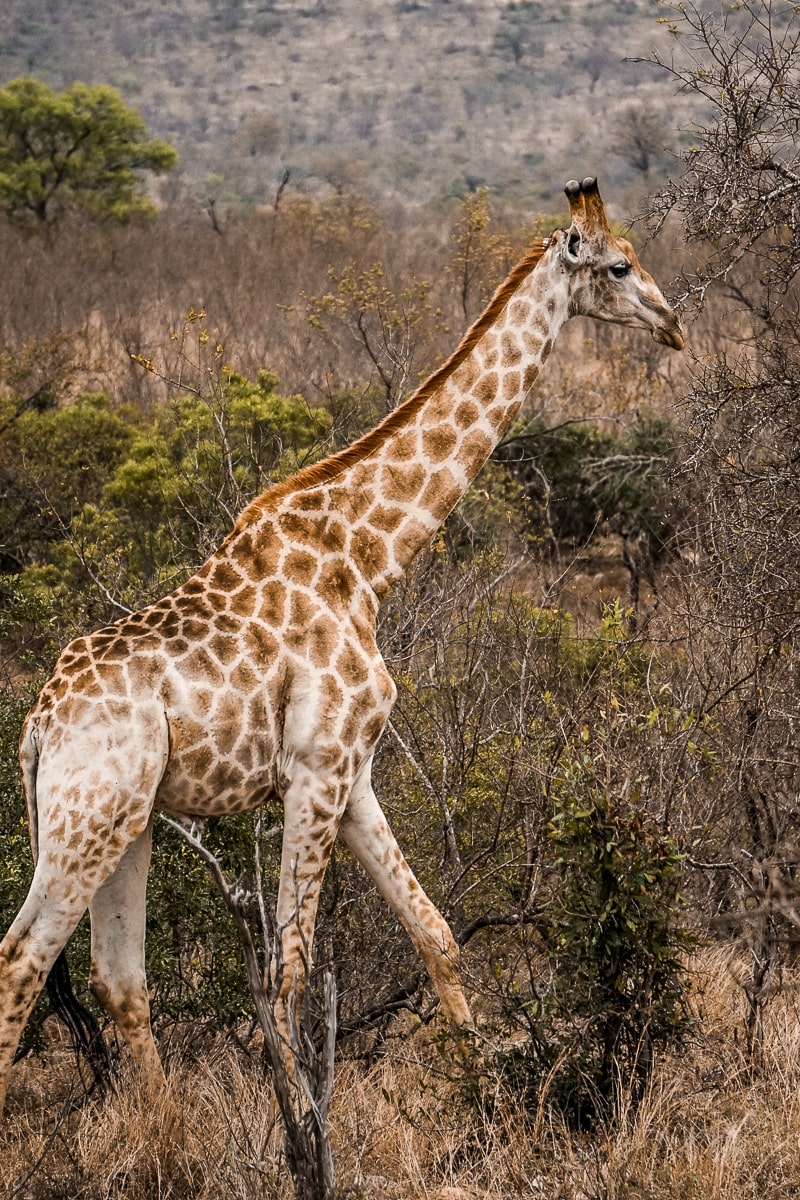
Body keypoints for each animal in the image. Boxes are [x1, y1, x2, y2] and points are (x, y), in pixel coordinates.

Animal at [0, 178, 683, 1117]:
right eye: (619, 265)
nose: (672, 323)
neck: (367, 558)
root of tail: (37, 727)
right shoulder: (315, 768)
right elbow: (288, 968)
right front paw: (297, 1118)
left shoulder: (353, 772)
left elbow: (436, 933)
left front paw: (488, 1102)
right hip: (85, 818)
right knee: (22, 959)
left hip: (125, 820)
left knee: (118, 976)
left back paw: (164, 1132)